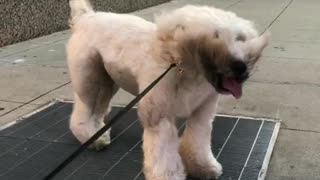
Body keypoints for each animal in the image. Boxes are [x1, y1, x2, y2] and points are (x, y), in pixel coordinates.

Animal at [67, 0, 270, 179]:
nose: (241, 67)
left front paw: (201, 166)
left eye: (240, 38)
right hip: (89, 80)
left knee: (97, 110)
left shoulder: (201, 113)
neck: (185, 68)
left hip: (106, 83)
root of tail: (86, 17)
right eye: (215, 36)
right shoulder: (159, 117)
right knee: (83, 112)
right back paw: (91, 137)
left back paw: (98, 133)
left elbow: (198, 142)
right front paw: (168, 175)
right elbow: (164, 155)